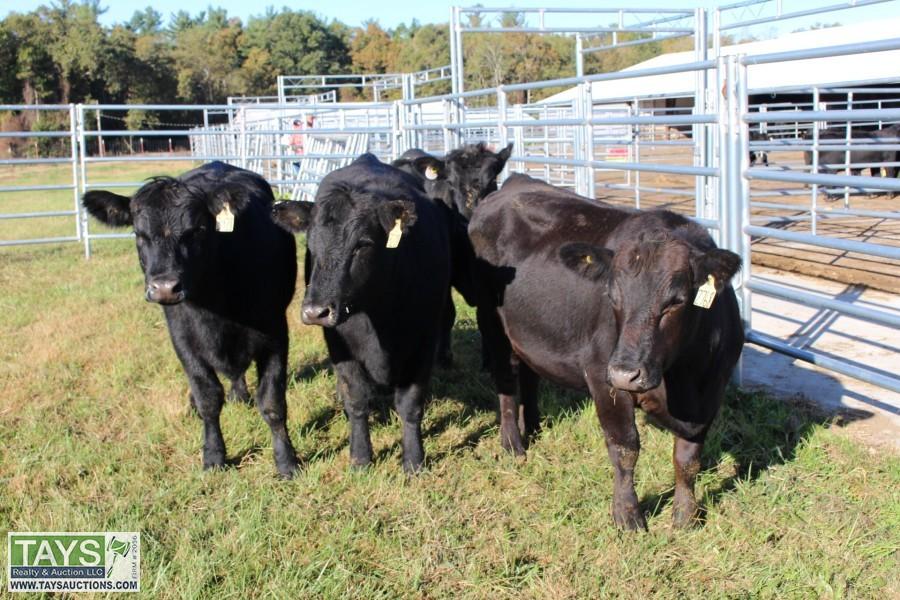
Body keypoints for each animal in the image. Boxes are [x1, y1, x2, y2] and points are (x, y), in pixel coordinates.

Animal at [82, 161, 299, 478]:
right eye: (139, 234)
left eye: (196, 230)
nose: (164, 287)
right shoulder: (183, 339)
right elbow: (208, 398)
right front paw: (213, 456)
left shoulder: (275, 332)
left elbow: (272, 403)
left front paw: (286, 460)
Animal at [271, 153, 450, 473]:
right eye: (311, 244)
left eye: (362, 245)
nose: (315, 312)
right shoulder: (339, 343)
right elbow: (355, 399)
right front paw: (360, 457)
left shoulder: (423, 340)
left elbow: (411, 405)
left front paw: (414, 460)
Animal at [391, 143, 513, 367]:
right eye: (450, 182)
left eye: (492, 180)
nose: (468, 220)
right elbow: (447, 314)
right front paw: (443, 357)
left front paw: (488, 359)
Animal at [468, 174, 744, 530]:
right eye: (612, 297)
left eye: (677, 301)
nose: (626, 373)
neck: (683, 378)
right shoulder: (603, 377)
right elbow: (625, 448)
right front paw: (627, 515)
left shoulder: (711, 393)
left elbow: (688, 459)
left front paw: (686, 515)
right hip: (491, 321)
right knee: (505, 378)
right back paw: (513, 443)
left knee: (529, 372)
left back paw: (536, 426)